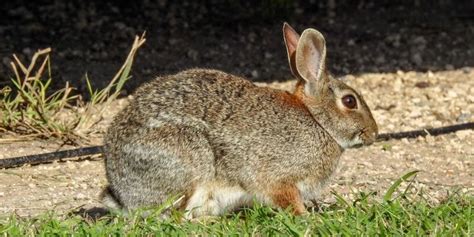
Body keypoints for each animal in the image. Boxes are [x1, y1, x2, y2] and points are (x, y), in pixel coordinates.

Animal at [103, 22, 378, 218]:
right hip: (189, 160)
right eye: (350, 101)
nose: (374, 134)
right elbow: (287, 199)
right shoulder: (279, 178)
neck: (317, 121)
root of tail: (122, 192)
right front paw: (307, 217)